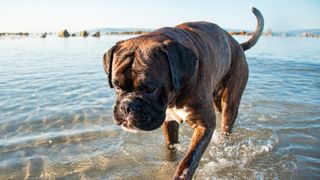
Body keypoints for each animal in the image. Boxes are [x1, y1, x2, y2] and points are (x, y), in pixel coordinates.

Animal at [104, 7, 264, 180]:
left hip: (230, 102)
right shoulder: (169, 122)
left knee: (227, 124)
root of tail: (238, 45)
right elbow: (171, 150)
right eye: (116, 86)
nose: (126, 106)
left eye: (150, 89)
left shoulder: (204, 125)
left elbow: (189, 160)